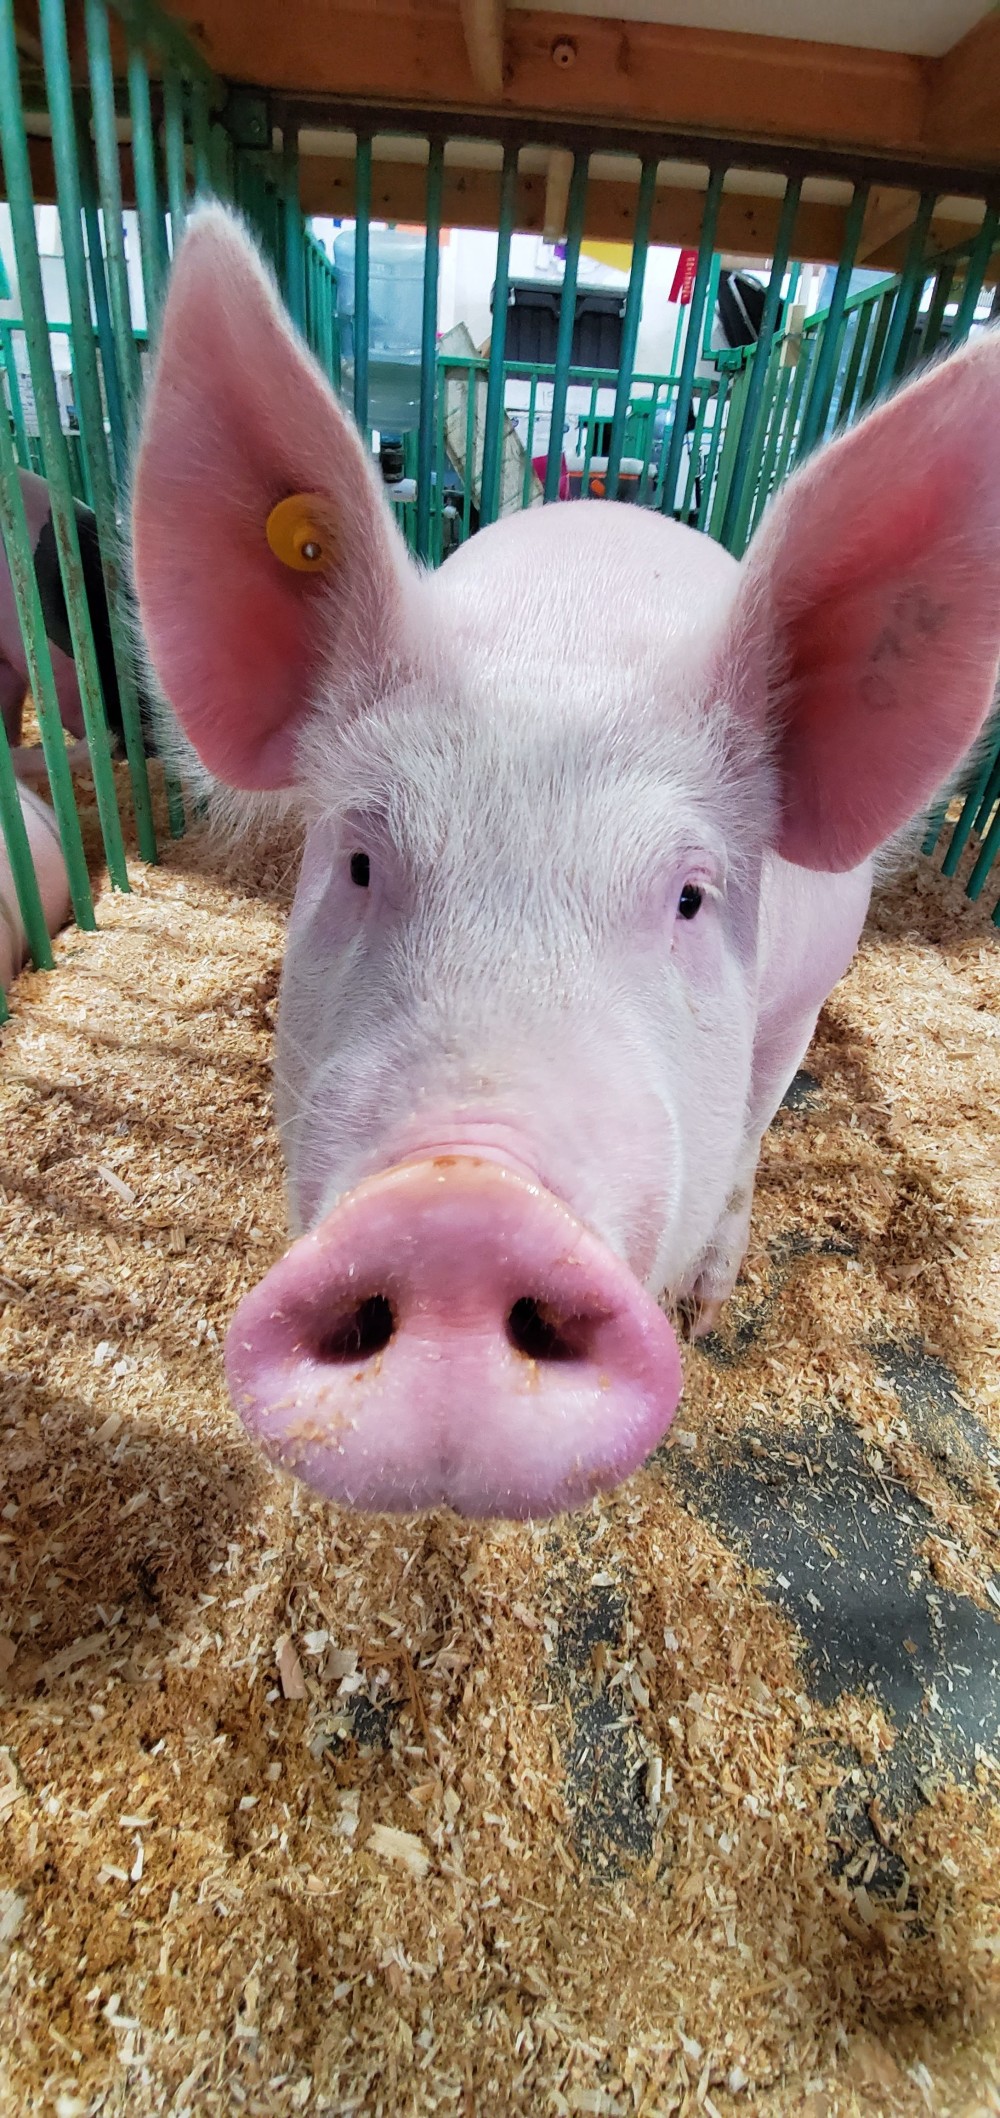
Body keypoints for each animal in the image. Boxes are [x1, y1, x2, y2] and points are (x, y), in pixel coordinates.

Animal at [131, 206, 1000, 1521]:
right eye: (360, 863)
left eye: (689, 896)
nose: (460, 1209)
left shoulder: (791, 1002)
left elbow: (746, 1134)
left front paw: (706, 1307)